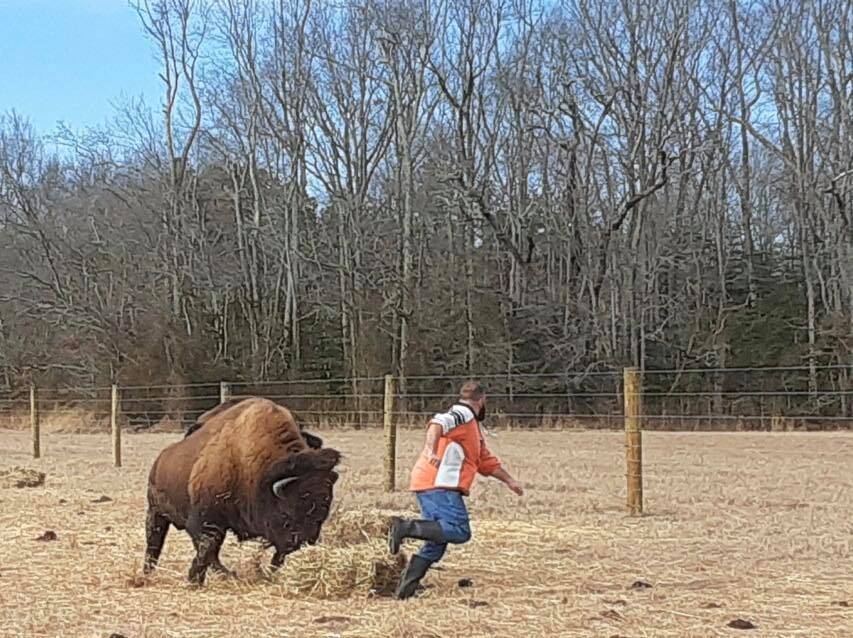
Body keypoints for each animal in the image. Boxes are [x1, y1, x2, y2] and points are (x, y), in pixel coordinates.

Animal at [143, 398, 340, 588]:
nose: (303, 543)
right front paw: (195, 580)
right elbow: (207, 548)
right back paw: (147, 573)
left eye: (322, 515)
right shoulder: (206, 520)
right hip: (156, 512)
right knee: (154, 542)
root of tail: (161, 459)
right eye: (287, 513)